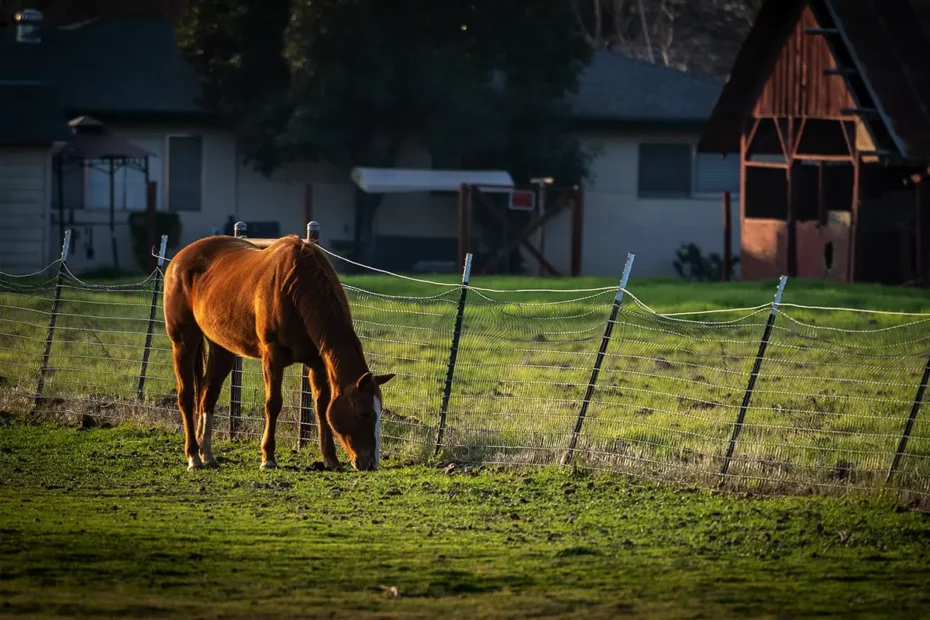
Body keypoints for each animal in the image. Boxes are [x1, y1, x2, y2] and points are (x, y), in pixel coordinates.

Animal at [162, 232, 392, 470]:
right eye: (363, 412)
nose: (371, 463)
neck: (296, 287)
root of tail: (179, 259)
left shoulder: (317, 361)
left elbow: (322, 406)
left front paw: (330, 459)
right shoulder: (273, 354)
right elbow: (273, 404)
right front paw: (268, 457)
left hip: (222, 348)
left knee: (208, 394)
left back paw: (207, 454)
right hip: (183, 341)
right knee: (186, 396)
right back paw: (194, 457)